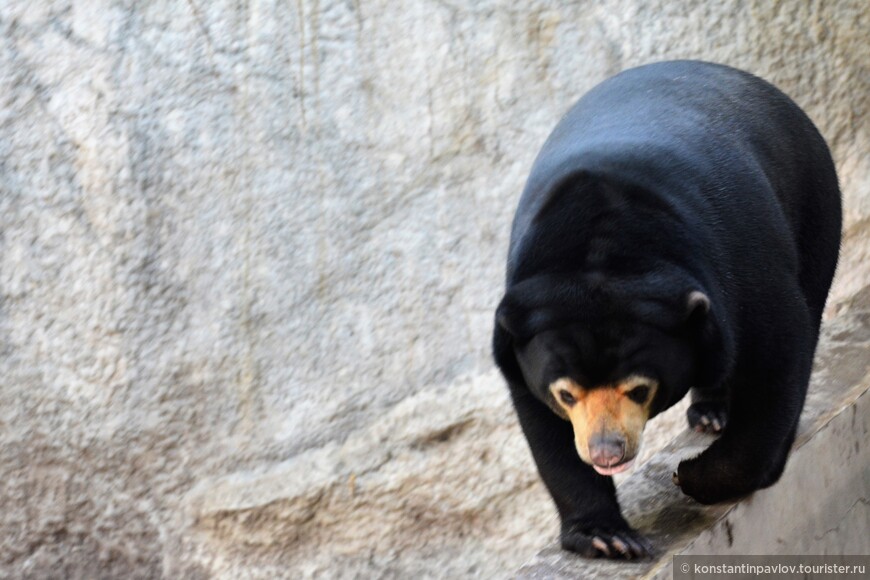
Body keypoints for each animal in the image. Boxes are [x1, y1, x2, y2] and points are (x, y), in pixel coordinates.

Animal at [498, 61, 844, 560]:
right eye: (566, 394)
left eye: (640, 389)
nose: (607, 453)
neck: (600, 252)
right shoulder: (522, 329)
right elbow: (543, 429)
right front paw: (607, 537)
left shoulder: (741, 269)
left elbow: (778, 353)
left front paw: (695, 476)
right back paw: (710, 412)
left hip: (813, 201)